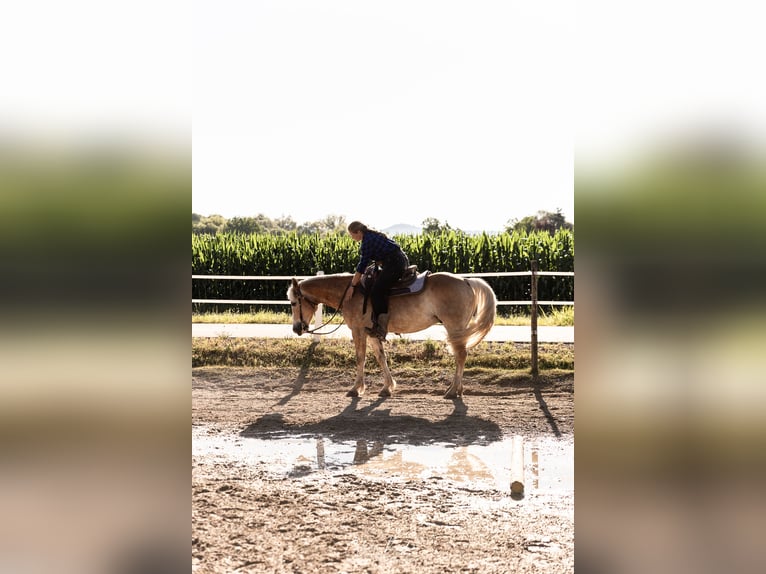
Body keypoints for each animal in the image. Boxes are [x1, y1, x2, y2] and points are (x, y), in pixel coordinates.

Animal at [287, 272, 496, 399]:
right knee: (461, 356)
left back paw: (452, 391)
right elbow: (381, 358)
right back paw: (457, 389)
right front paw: (387, 387)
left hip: (454, 327)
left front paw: (356, 389)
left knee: (461, 355)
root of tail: (466, 281)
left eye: (293, 303)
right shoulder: (371, 333)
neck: (349, 294)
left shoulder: (357, 330)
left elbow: (360, 358)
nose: (297, 328)